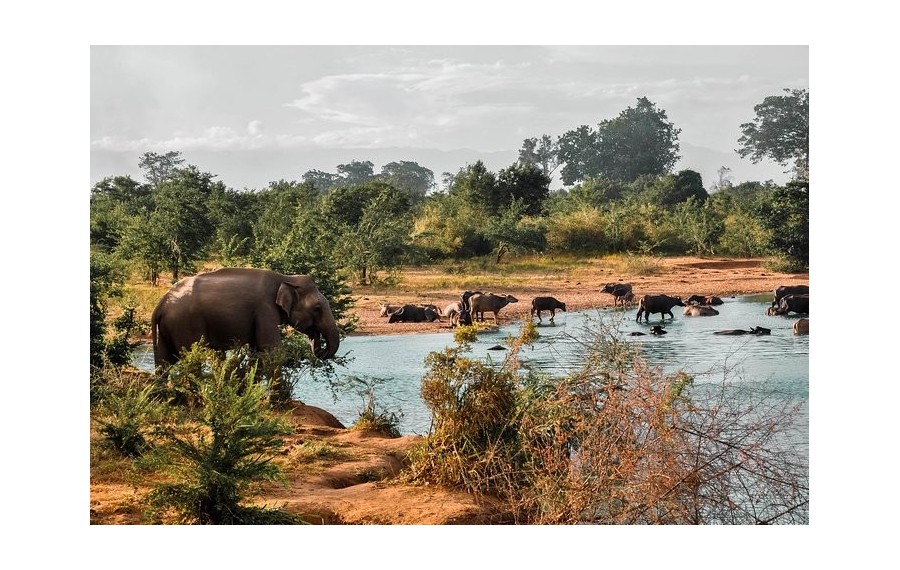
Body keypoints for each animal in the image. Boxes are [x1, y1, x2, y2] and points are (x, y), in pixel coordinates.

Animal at [151, 268, 342, 368]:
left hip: (168, 327)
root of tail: (161, 303)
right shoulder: (265, 310)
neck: (285, 278)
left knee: (164, 361)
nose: (321, 350)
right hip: (186, 324)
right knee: (189, 357)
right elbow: (270, 349)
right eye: (317, 308)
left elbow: (257, 351)